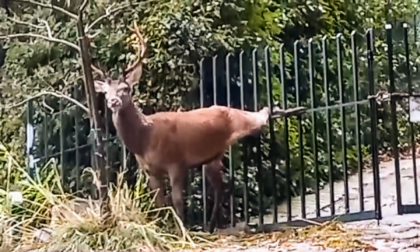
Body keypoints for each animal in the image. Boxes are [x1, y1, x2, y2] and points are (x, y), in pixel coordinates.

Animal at [92, 22, 296, 233]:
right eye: (105, 92)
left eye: (125, 89)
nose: (113, 102)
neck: (145, 139)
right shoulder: (150, 170)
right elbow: (159, 203)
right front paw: (161, 229)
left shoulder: (176, 162)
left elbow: (178, 200)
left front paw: (183, 230)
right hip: (212, 158)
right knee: (221, 187)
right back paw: (211, 225)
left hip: (241, 120)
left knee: (259, 117)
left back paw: (277, 108)